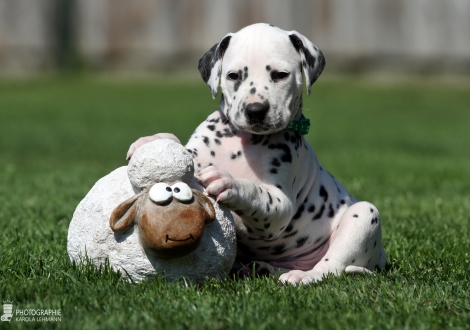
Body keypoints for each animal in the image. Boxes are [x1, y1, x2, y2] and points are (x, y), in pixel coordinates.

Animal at [127, 22, 386, 284]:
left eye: (280, 75)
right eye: (233, 76)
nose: (255, 110)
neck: (243, 141)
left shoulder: (280, 205)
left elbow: (257, 193)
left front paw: (228, 181)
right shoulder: (198, 155)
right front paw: (152, 141)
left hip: (363, 215)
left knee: (332, 266)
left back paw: (304, 276)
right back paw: (259, 268)